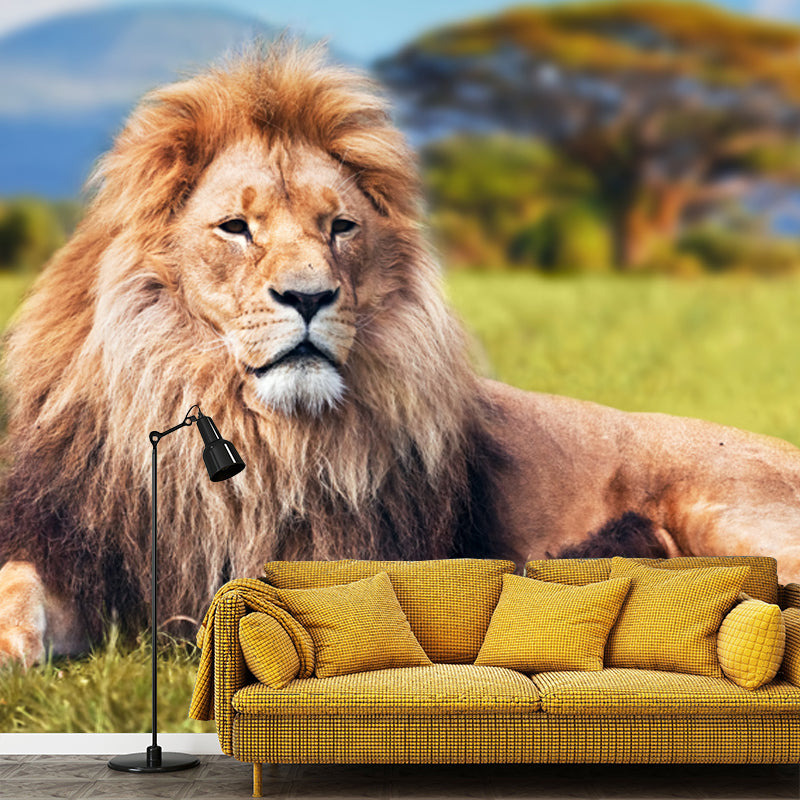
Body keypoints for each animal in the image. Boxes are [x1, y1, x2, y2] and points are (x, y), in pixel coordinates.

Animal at [1, 41, 800, 666]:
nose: (309, 297)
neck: (260, 432)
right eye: (235, 227)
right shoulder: (79, 549)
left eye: (340, 227)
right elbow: (19, 583)